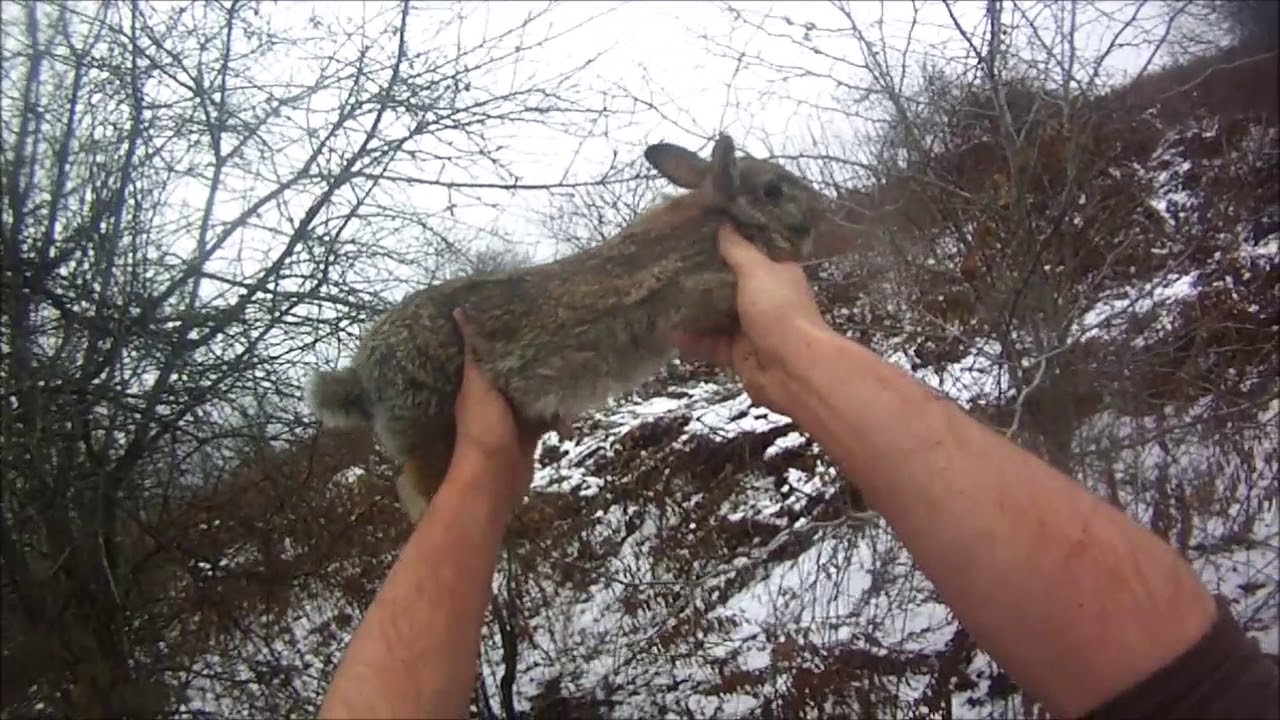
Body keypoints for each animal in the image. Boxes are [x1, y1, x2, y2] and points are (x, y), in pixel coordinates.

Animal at [305, 132, 829, 523]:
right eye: (773, 191)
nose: (821, 207)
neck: (726, 219)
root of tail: (360, 378)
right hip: (433, 422)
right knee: (413, 483)